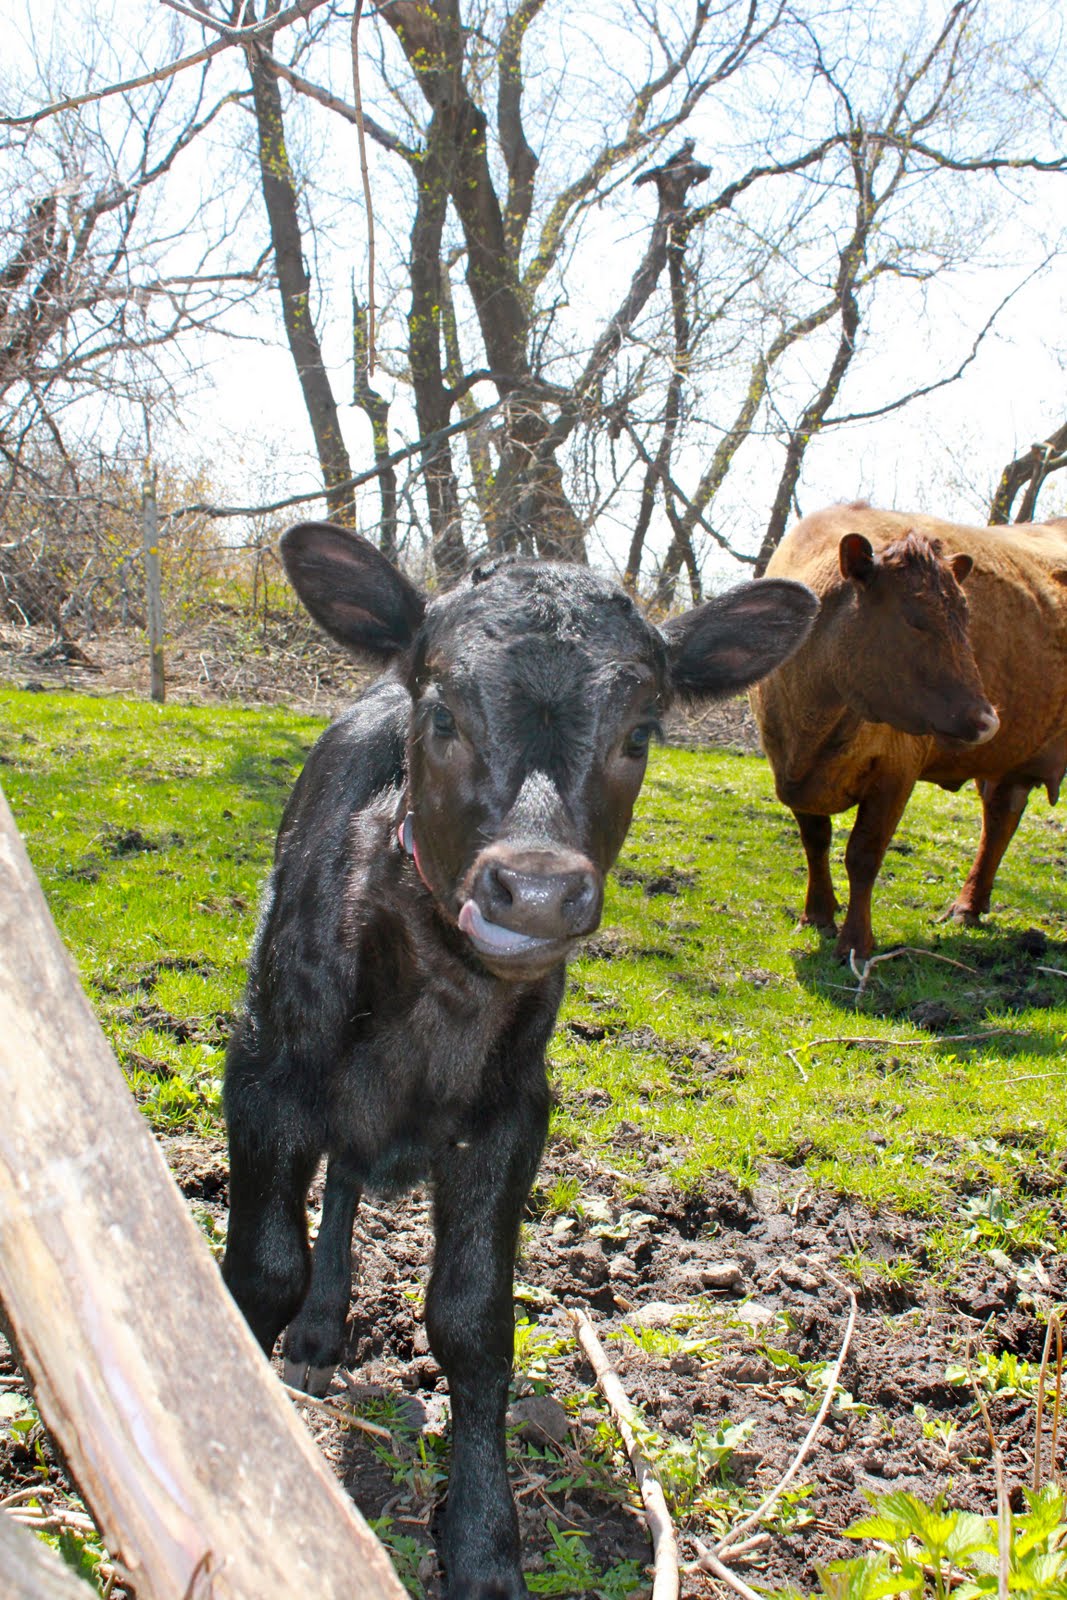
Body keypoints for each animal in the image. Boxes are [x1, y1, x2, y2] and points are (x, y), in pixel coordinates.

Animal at [221, 520, 817, 1600]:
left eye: (639, 734)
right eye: (443, 712)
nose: (535, 891)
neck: (434, 1002)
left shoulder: (508, 1116)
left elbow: (471, 1322)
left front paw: (485, 1548)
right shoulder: (262, 1072)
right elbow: (263, 1268)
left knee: (351, 1179)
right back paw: (316, 1339)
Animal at [749, 501, 1067, 961]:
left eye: (966, 617)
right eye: (914, 620)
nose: (988, 721)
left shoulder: (896, 770)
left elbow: (863, 854)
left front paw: (856, 943)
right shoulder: (786, 763)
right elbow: (815, 840)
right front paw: (817, 916)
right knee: (1001, 817)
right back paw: (967, 908)